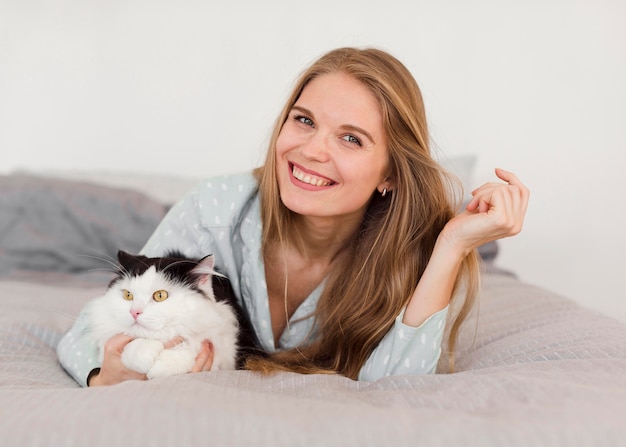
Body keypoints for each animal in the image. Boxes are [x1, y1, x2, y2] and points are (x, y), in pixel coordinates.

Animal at [81, 250, 260, 380]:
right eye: (128, 295)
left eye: (160, 295)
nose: (134, 311)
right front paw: (142, 356)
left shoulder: (224, 349)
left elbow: (191, 345)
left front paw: (161, 366)